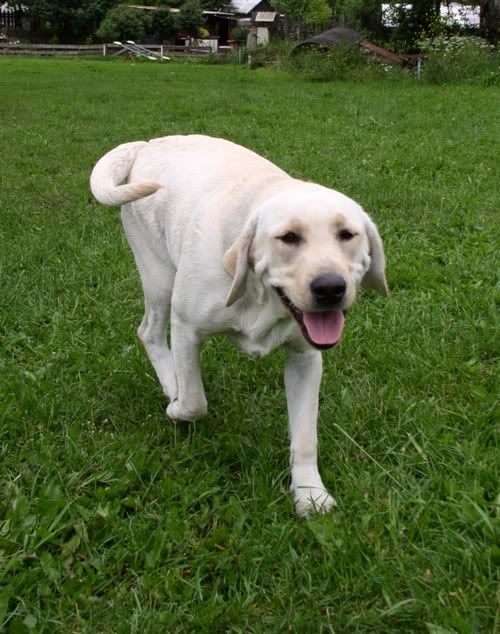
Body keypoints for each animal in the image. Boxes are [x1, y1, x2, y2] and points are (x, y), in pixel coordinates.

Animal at [90, 135, 388, 515]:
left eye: (347, 234)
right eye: (289, 237)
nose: (330, 288)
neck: (259, 293)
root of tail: (147, 143)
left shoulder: (306, 359)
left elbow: (306, 435)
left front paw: (309, 491)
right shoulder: (186, 328)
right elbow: (195, 402)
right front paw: (177, 407)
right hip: (159, 278)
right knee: (150, 332)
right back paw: (171, 384)